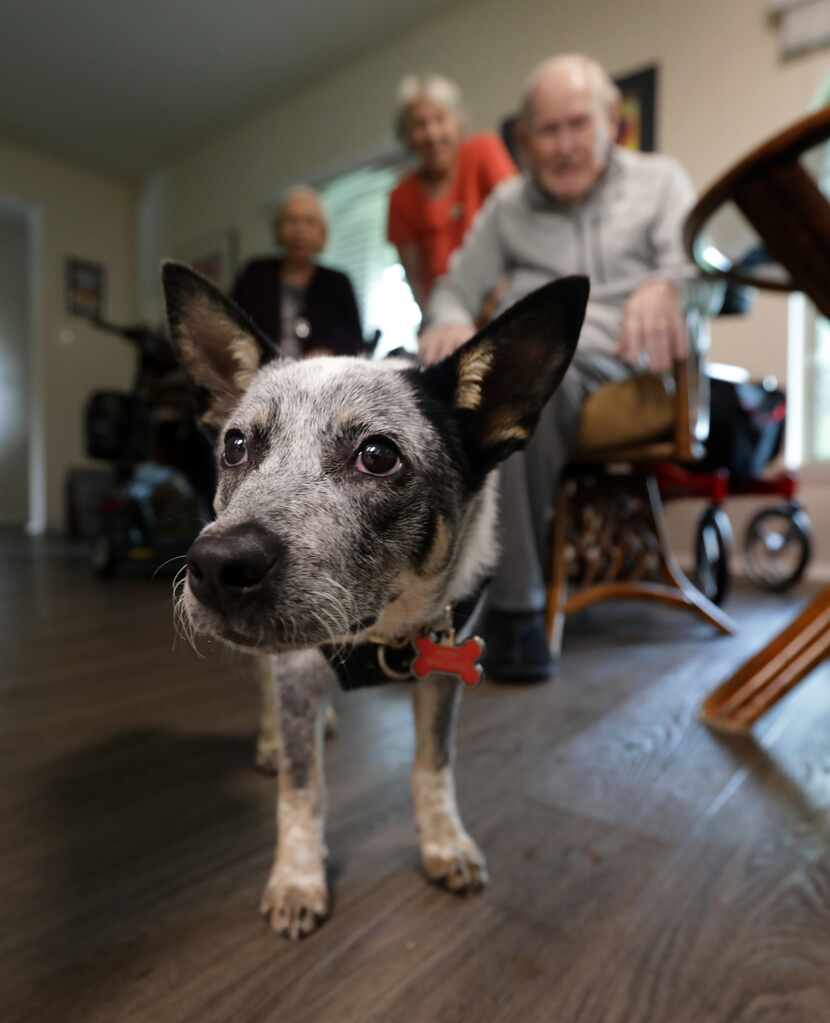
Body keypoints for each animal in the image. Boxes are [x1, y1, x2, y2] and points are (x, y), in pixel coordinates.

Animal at [162, 265, 589, 941]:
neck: (383, 634)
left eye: (378, 455)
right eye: (236, 446)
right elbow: (302, 789)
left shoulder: (446, 667)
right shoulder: (295, 663)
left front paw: (445, 844)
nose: (216, 565)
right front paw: (299, 878)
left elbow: (433, 766)